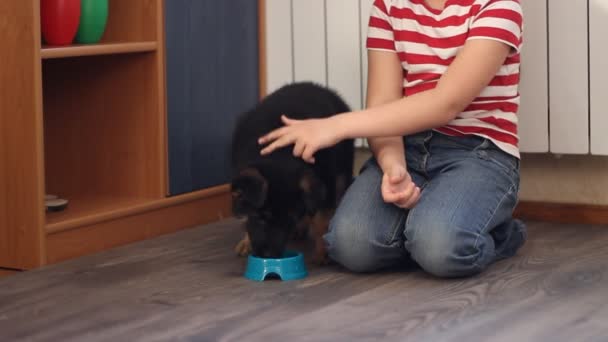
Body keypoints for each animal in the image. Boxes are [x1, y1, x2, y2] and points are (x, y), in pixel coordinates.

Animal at [229, 82, 354, 262]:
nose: (269, 256)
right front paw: (246, 241)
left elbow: (321, 218)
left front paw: (322, 251)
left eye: (289, 221)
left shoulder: (327, 180)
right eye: (261, 218)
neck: (279, 155)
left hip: (343, 169)